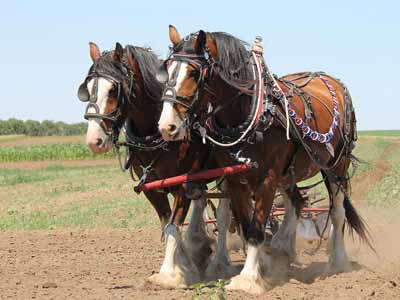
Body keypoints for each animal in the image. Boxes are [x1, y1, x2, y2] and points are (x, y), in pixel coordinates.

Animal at [77, 42, 231, 288]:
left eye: (113, 90)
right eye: (88, 88)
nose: (94, 141)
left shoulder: (181, 185)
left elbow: (173, 227)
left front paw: (168, 273)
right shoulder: (152, 188)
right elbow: (167, 226)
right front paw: (185, 264)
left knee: (225, 215)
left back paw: (220, 263)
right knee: (201, 201)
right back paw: (200, 245)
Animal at [156, 25, 372, 292]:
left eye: (194, 73)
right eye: (167, 69)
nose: (167, 126)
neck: (250, 113)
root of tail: (330, 80)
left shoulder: (268, 180)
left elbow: (257, 230)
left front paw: (248, 279)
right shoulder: (235, 180)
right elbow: (246, 226)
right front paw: (257, 269)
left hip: (336, 166)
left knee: (336, 211)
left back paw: (337, 263)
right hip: (290, 172)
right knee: (297, 202)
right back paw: (281, 249)